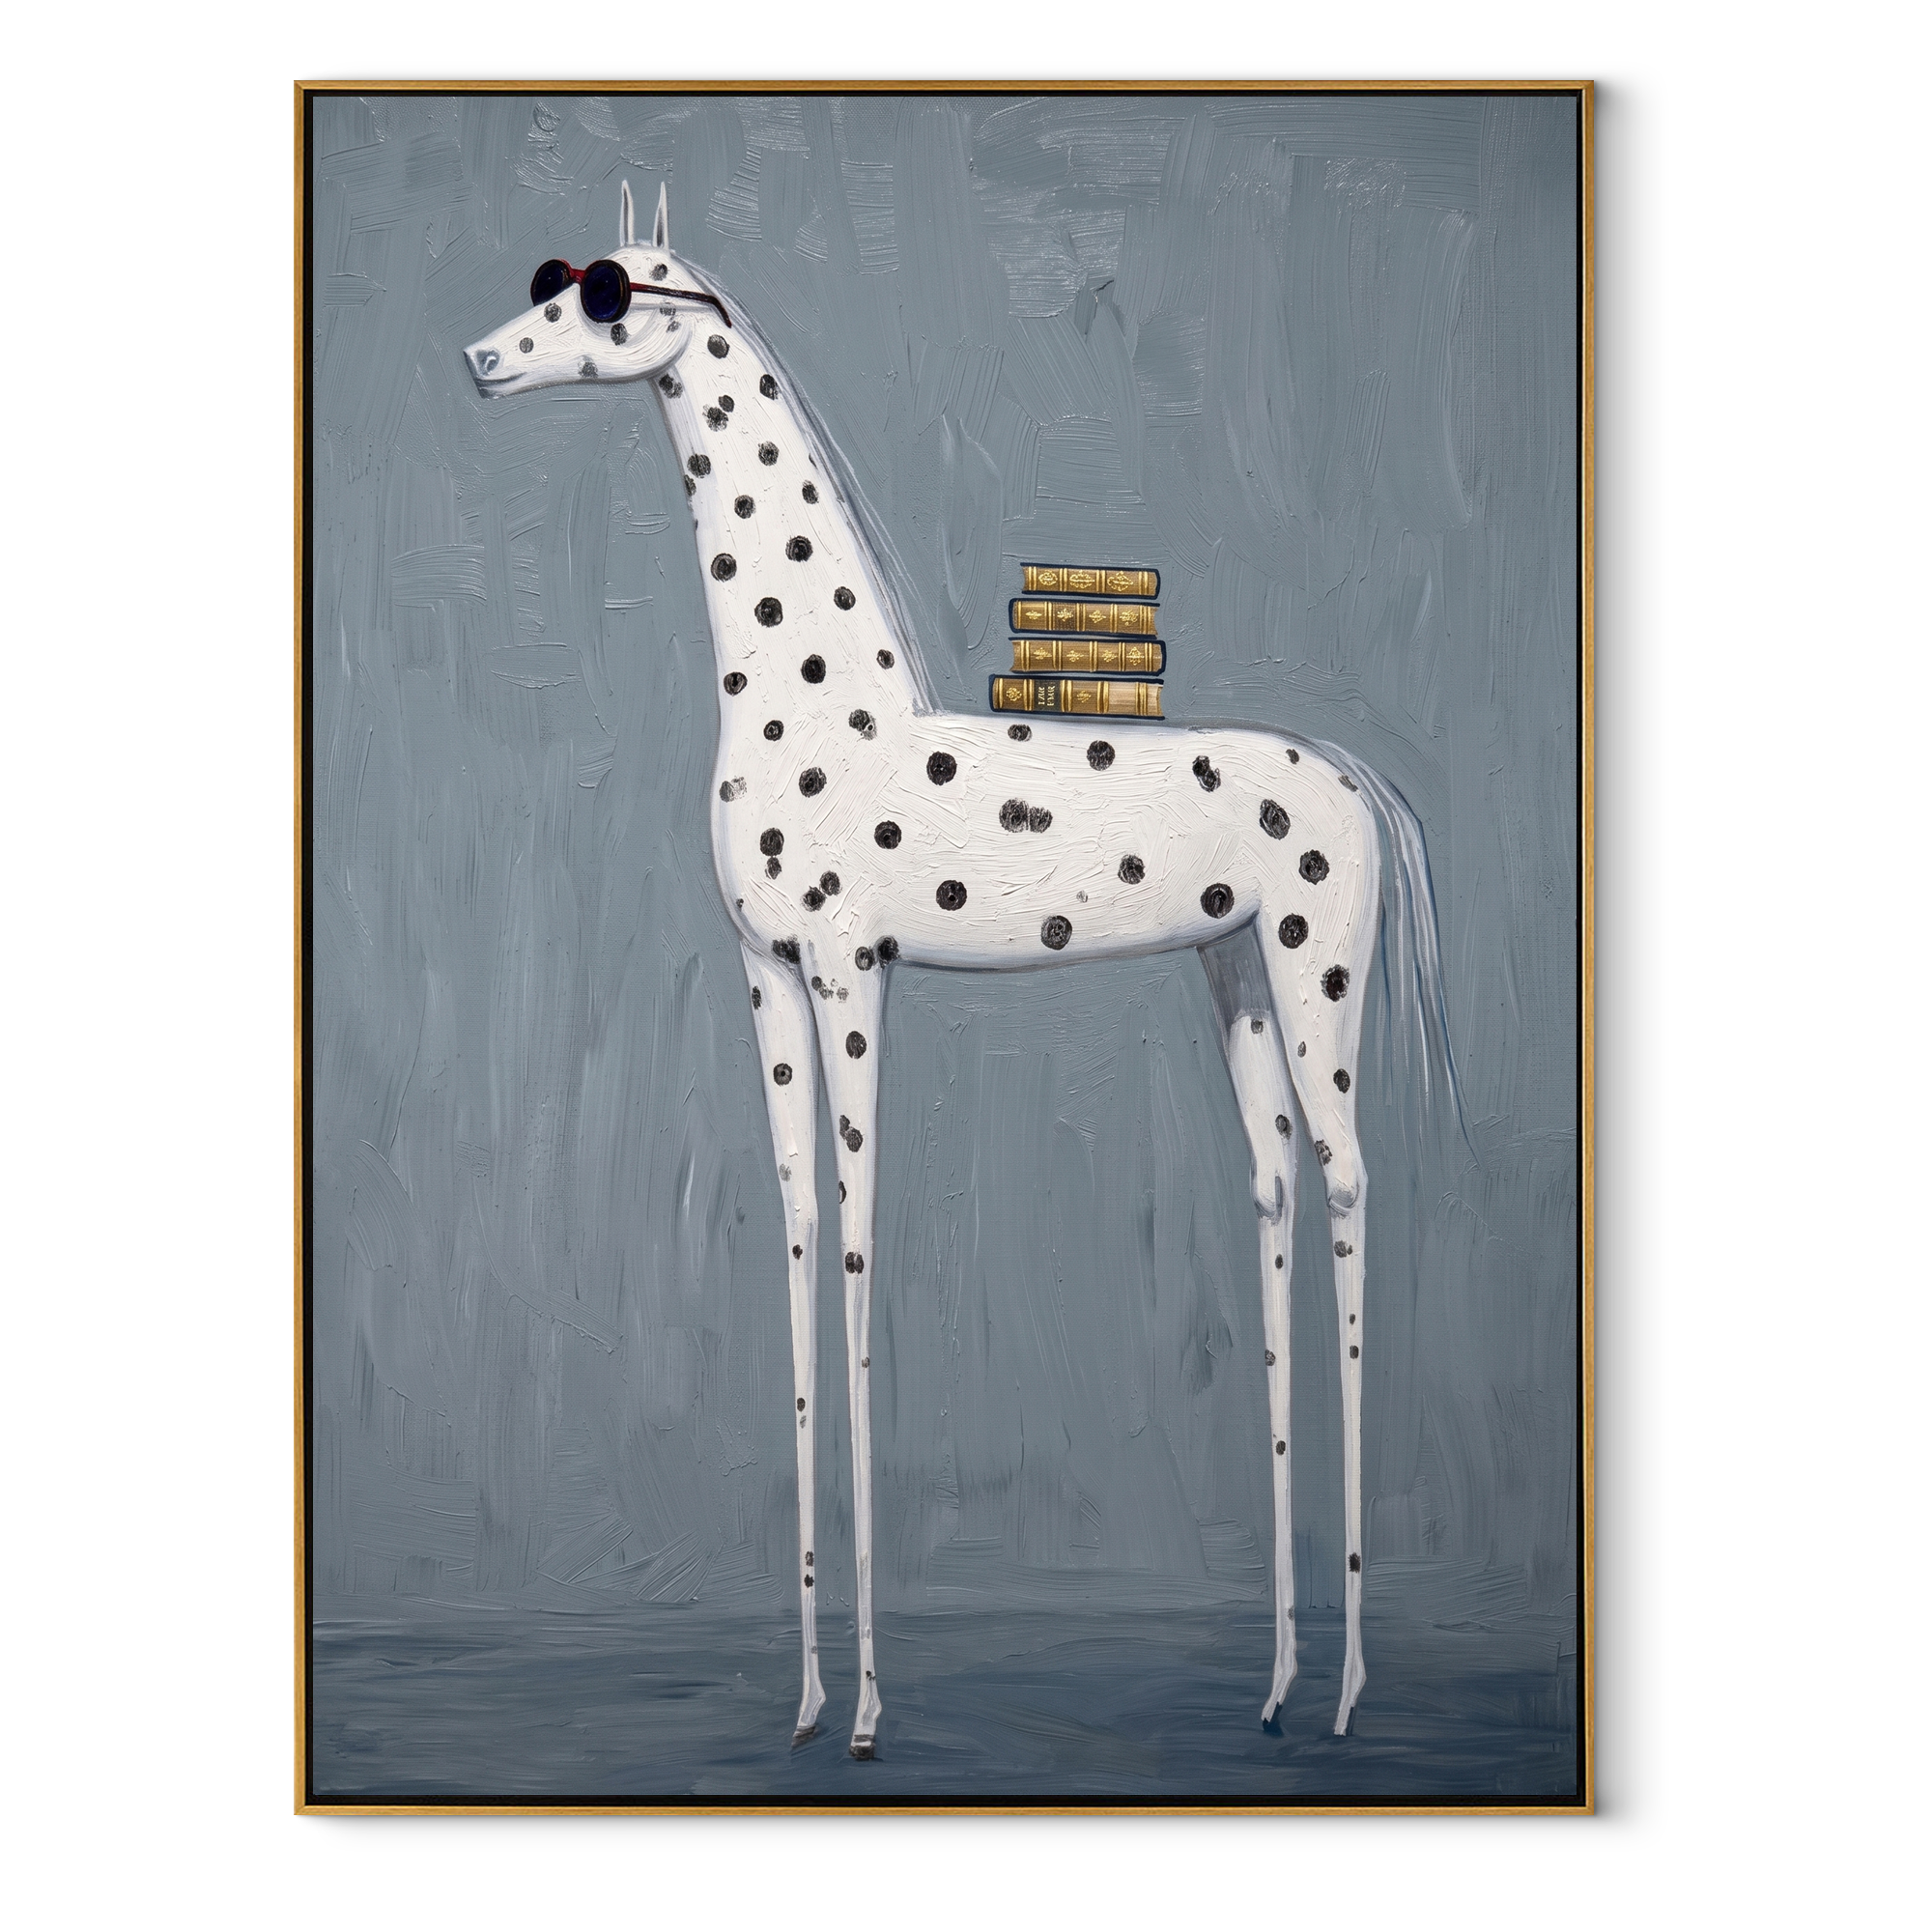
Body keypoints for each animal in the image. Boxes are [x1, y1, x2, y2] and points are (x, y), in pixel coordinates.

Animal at [464, 181, 1460, 1759]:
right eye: (551, 279)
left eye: (607, 295)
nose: (482, 359)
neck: (820, 705)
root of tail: (1356, 774)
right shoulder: (764, 976)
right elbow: (799, 1235)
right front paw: (809, 1696)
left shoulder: (853, 968)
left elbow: (863, 1255)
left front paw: (870, 1705)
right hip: (1234, 979)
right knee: (1276, 1188)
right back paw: (1280, 1683)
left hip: (1318, 980)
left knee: (1355, 1182)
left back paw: (1356, 1686)